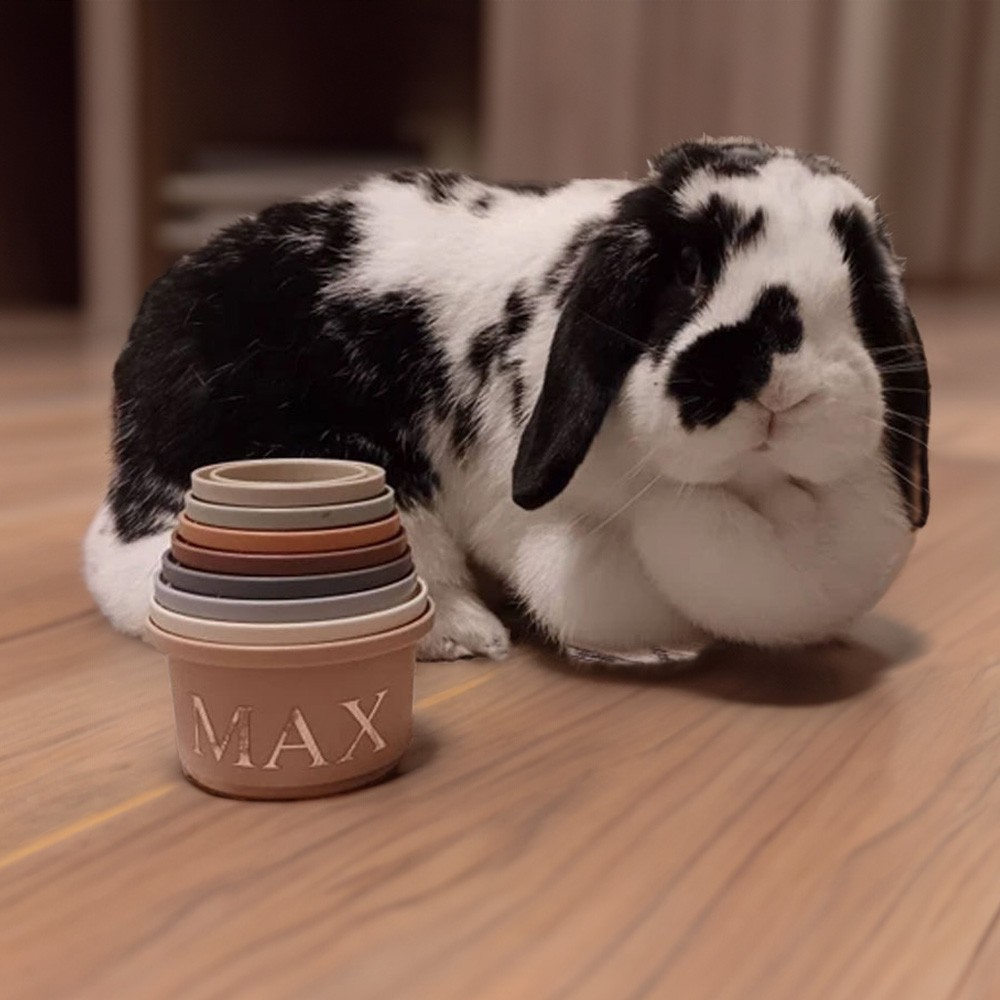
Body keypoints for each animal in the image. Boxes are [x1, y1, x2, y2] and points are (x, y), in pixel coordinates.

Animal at [84, 137, 928, 660]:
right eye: (687, 271)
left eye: (859, 281)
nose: (780, 385)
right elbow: (660, 568)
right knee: (136, 574)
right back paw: (465, 635)